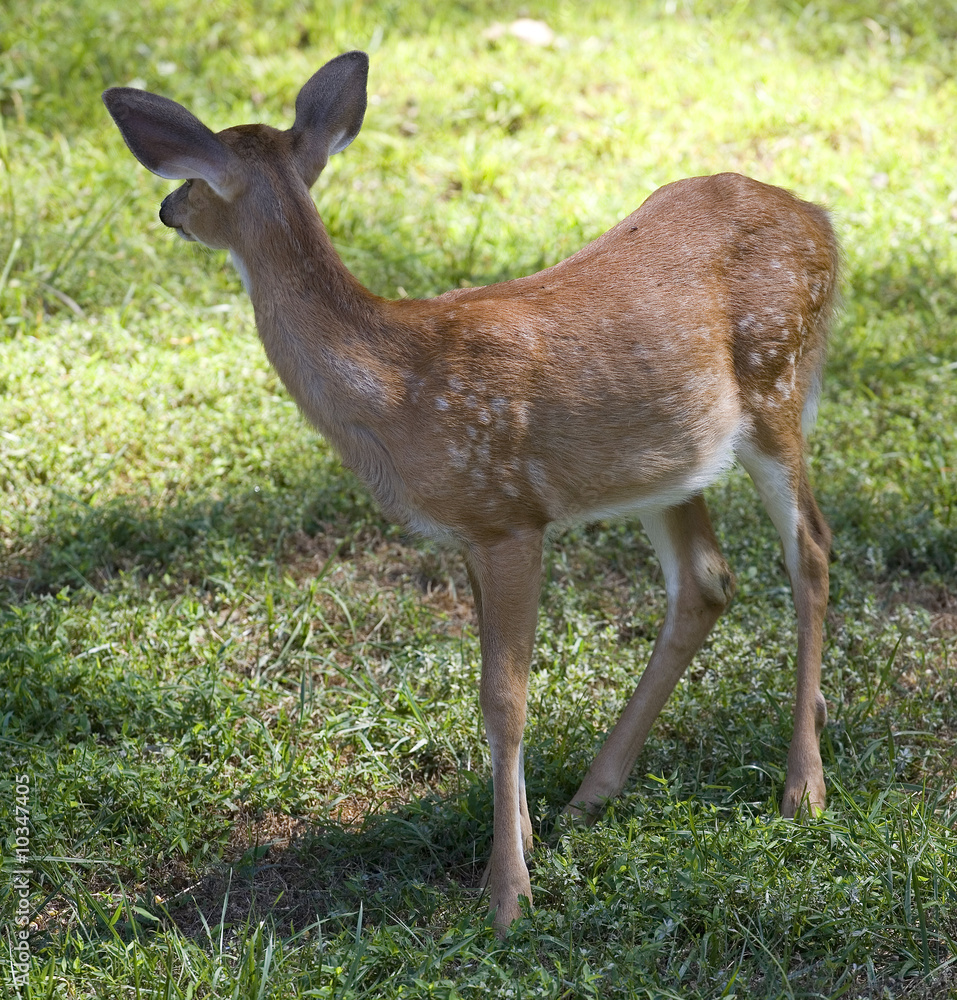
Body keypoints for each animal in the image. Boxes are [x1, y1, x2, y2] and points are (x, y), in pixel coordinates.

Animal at [103, 50, 838, 936]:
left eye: (194, 176)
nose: (166, 208)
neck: (396, 385)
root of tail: (821, 219)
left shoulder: (509, 520)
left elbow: (504, 699)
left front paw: (507, 892)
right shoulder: (469, 530)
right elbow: (490, 691)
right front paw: (522, 836)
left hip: (775, 382)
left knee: (810, 552)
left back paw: (802, 787)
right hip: (667, 458)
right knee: (705, 579)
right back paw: (591, 794)